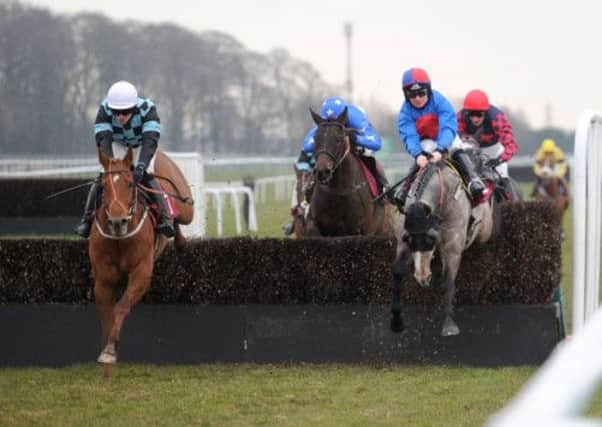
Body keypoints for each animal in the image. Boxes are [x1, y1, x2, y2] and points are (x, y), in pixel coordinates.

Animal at [90, 148, 192, 378]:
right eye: (104, 186)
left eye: (130, 183)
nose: (117, 221)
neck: (120, 238)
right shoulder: (103, 279)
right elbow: (106, 313)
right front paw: (106, 351)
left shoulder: (141, 273)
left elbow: (121, 307)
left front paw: (110, 350)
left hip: (185, 207)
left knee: (180, 220)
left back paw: (178, 237)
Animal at [300, 108, 394, 237]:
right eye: (315, 138)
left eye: (338, 139)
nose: (322, 171)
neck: (337, 190)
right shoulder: (314, 221)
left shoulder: (358, 229)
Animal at [386, 154, 494, 338]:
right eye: (409, 239)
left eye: (431, 238)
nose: (422, 278)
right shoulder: (403, 239)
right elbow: (398, 271)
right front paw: (396, 321)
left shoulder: (453, 245)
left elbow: (447, 280)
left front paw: (449, 324)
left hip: (485, 231)